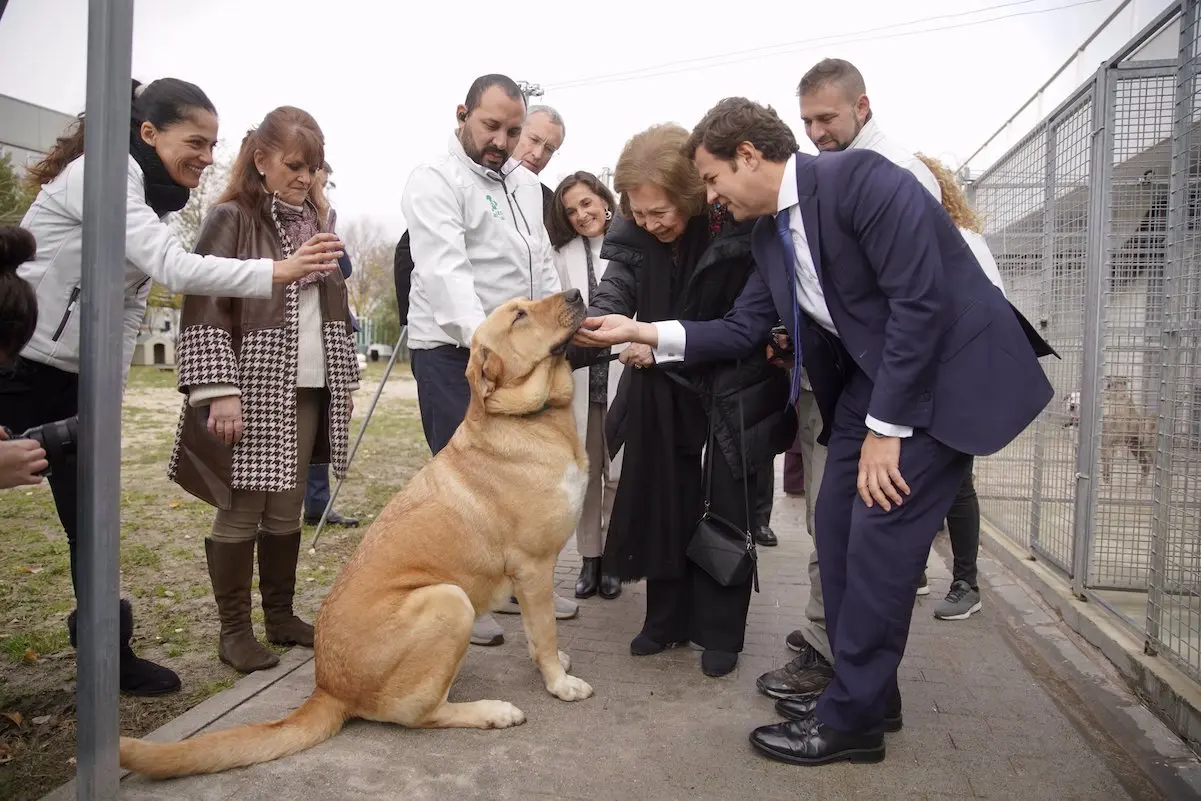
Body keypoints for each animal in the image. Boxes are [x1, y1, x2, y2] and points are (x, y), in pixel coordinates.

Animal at [117, 291, 595, 778]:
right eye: (519, 316)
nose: (577, 294)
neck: (533, 418)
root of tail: (329, 688)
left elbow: (538, 633)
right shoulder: (533, 566)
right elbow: (546, 632)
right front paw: (559, 683)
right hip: (449, 599)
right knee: (419, 713)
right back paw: (492, 711)